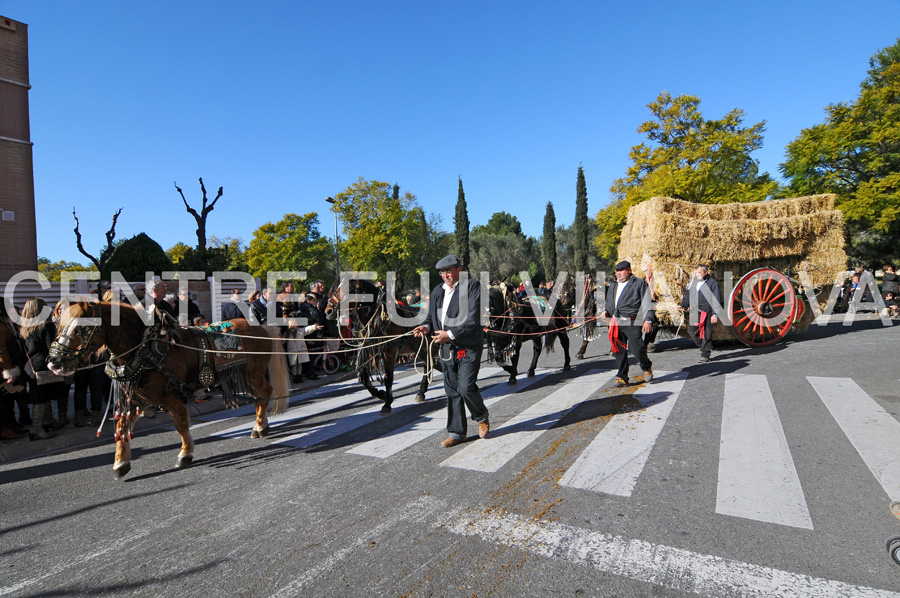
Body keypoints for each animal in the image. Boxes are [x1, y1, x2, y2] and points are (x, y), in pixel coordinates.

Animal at [47, 302, 290, 480]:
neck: (144, 348)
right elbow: (121, 427)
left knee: (265, 393)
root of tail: (261, 327)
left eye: (81, 328)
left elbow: (181, 425)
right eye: (59, 325)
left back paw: (260, 426)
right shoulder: (135, 398)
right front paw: (120, 463)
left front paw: (185, 453)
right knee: (260, 397)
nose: (54, 362)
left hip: (253, 374)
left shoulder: (171, 396)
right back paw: (260, 425)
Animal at [326, 280, 438, 412]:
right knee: (428, 365)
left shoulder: (390, 351)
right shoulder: (369, 350)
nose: (328, 311)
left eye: (348, 289)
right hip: (423, 348)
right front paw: (382, 395)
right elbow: (364, 378)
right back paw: (421, 392)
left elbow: (388, 378)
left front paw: (387, 402)